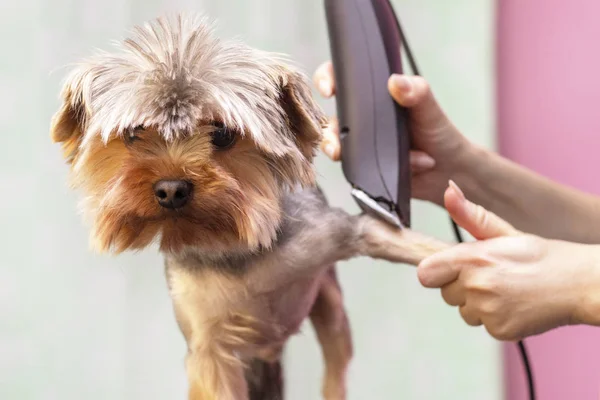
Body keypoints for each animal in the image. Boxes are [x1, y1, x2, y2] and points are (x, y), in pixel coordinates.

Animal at [50, 13, 440, 400]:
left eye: (223, 133)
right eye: (133, 133)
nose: (171, 189)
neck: (232, 247)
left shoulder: (332, 234)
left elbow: (399, 239)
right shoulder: (208, 346)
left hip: (330, 306)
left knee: (335, 363)